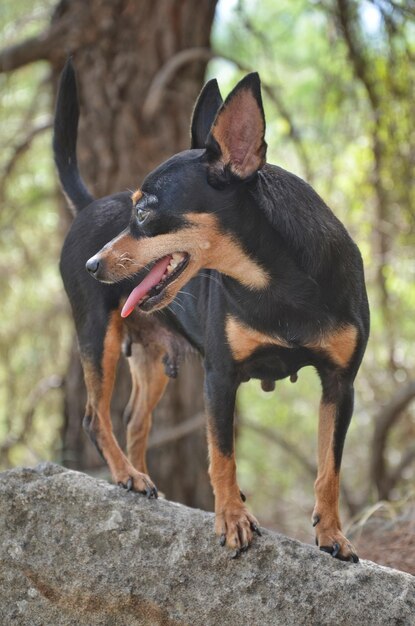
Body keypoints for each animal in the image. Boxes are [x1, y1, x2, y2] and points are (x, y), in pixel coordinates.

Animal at [55, 58, 370, 560]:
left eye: (144, 212)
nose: (93, 264)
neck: (281, 282)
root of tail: (87, 206)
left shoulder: (340, 384)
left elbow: (329, 467)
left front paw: (332, 534)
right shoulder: (220, 376)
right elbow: (222, 456)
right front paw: (232, 520)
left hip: (151, 362)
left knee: (134, 421)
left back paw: (145, 482)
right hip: (96, 334)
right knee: (94, 416)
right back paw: (127, 475)